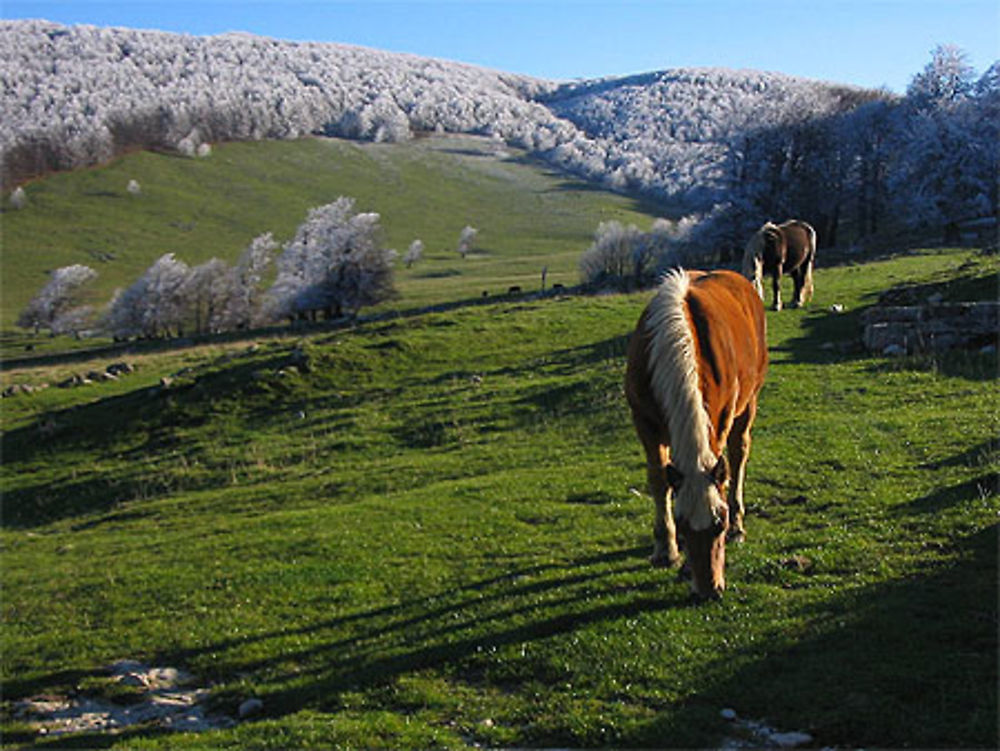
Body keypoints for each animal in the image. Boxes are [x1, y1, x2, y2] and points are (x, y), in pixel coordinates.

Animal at [620, 268, 768, 600]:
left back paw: (741, 522)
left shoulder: (722, 418)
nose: (709, 591)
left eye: (719, 524)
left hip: (749, 402)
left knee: (739, 454)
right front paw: (666, 549)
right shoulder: (644, 423)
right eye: (684, 527)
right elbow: (659, 480)